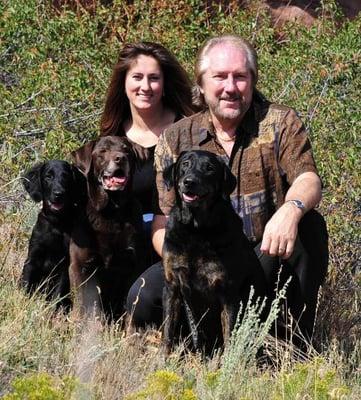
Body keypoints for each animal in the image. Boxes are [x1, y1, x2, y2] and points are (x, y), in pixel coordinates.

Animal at [21, 160, 85, 310]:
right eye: (48, 177)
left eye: (66, 177)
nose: (58, 193)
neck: (56, 223)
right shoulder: (32, 259)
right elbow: (26, 284)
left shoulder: (64, 265)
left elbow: (57, 294)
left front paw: (52, 311)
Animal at [69, 136, 144, 320]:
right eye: (102, 151)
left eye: (126, 150)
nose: (120, 158)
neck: (111, 211)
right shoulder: (79, 266)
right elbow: (81, 304)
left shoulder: (132, 264)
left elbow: (130, 305)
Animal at [162, 150, 266, 354]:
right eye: (185, 164)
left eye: (209, 168)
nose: (189, 181)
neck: (196, 230)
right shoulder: (173, 285)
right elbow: (168, 331)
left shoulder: (228, 292)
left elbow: (229, 336)